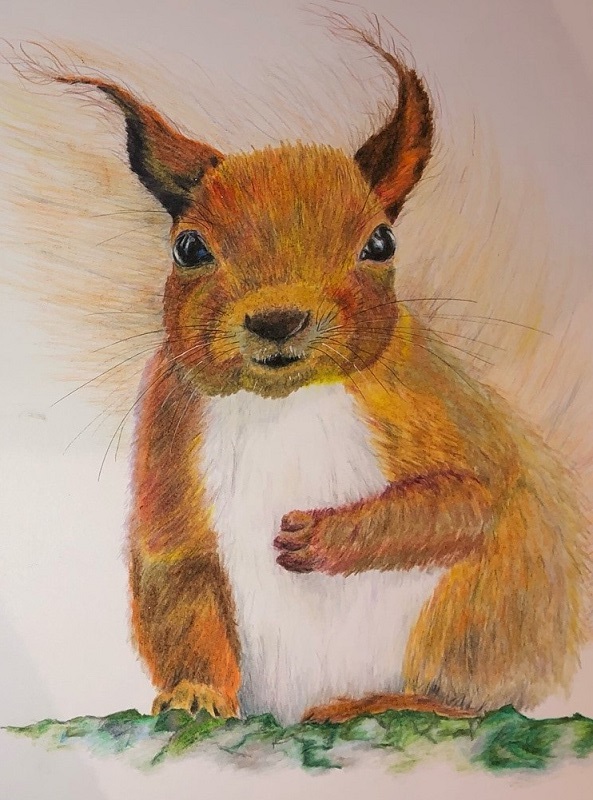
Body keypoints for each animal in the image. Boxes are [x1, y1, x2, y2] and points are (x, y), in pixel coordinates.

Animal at [44, 31, 589, 726]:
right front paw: (195, 694)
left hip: (476, 620)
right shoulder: (169, 432)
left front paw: (322, 536)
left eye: (381, 243)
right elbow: (176, 568)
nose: (278, 319)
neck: (284, 400)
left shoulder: (439, 405)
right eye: (188, 248)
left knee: (471, 696)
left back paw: (378, 703)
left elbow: (469, 498)